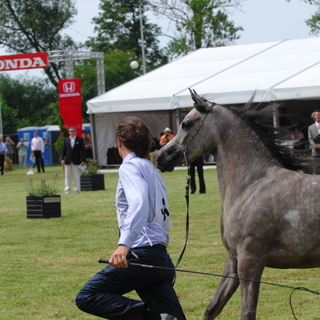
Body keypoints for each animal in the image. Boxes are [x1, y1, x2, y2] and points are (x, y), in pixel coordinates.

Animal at [157, 89, 320, 320]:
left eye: (186, 124)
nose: (161, 157)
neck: (251, 184)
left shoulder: (250, 262)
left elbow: (247, 313)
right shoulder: (233, 263)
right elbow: (212, 308)